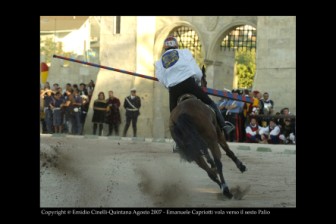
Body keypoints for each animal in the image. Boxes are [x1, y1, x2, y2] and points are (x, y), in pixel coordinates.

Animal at [169, 68, 245, 198]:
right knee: (218, 163)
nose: (205, 85)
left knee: (209, 172)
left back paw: (223, 187)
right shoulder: (218, 135)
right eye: (205, 80)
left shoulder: (200, 144)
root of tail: (183, 113)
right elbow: (228, 151)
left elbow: (209, 158)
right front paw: (241, 166)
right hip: (212, 140)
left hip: (194, 151)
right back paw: (226, 189)